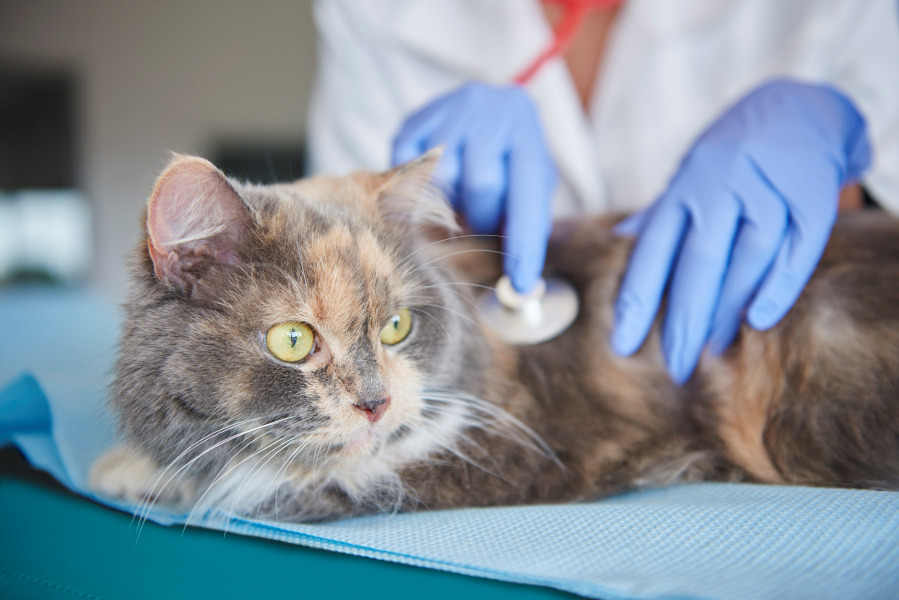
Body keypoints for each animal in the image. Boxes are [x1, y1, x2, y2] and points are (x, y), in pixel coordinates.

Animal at [89, 152, 899, 524]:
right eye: (292, 341)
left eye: (397, 327)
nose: (376, 404)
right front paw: (131, 466)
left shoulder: (521, 449)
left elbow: (275, 483)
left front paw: (155, 476)